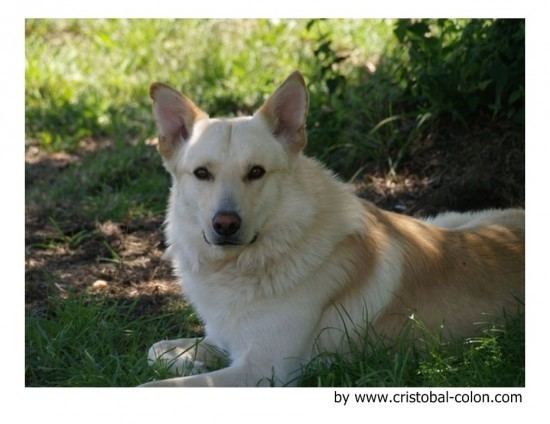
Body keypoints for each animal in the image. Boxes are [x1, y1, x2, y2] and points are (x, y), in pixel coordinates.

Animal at [143, 73, 528, 388]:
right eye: (202, 173)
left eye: (256, 172)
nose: (224, 224)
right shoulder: (225, 342)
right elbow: (156, 350)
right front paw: (184, 363)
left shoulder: (264, 370)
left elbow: (155, 386)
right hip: (444, 219)